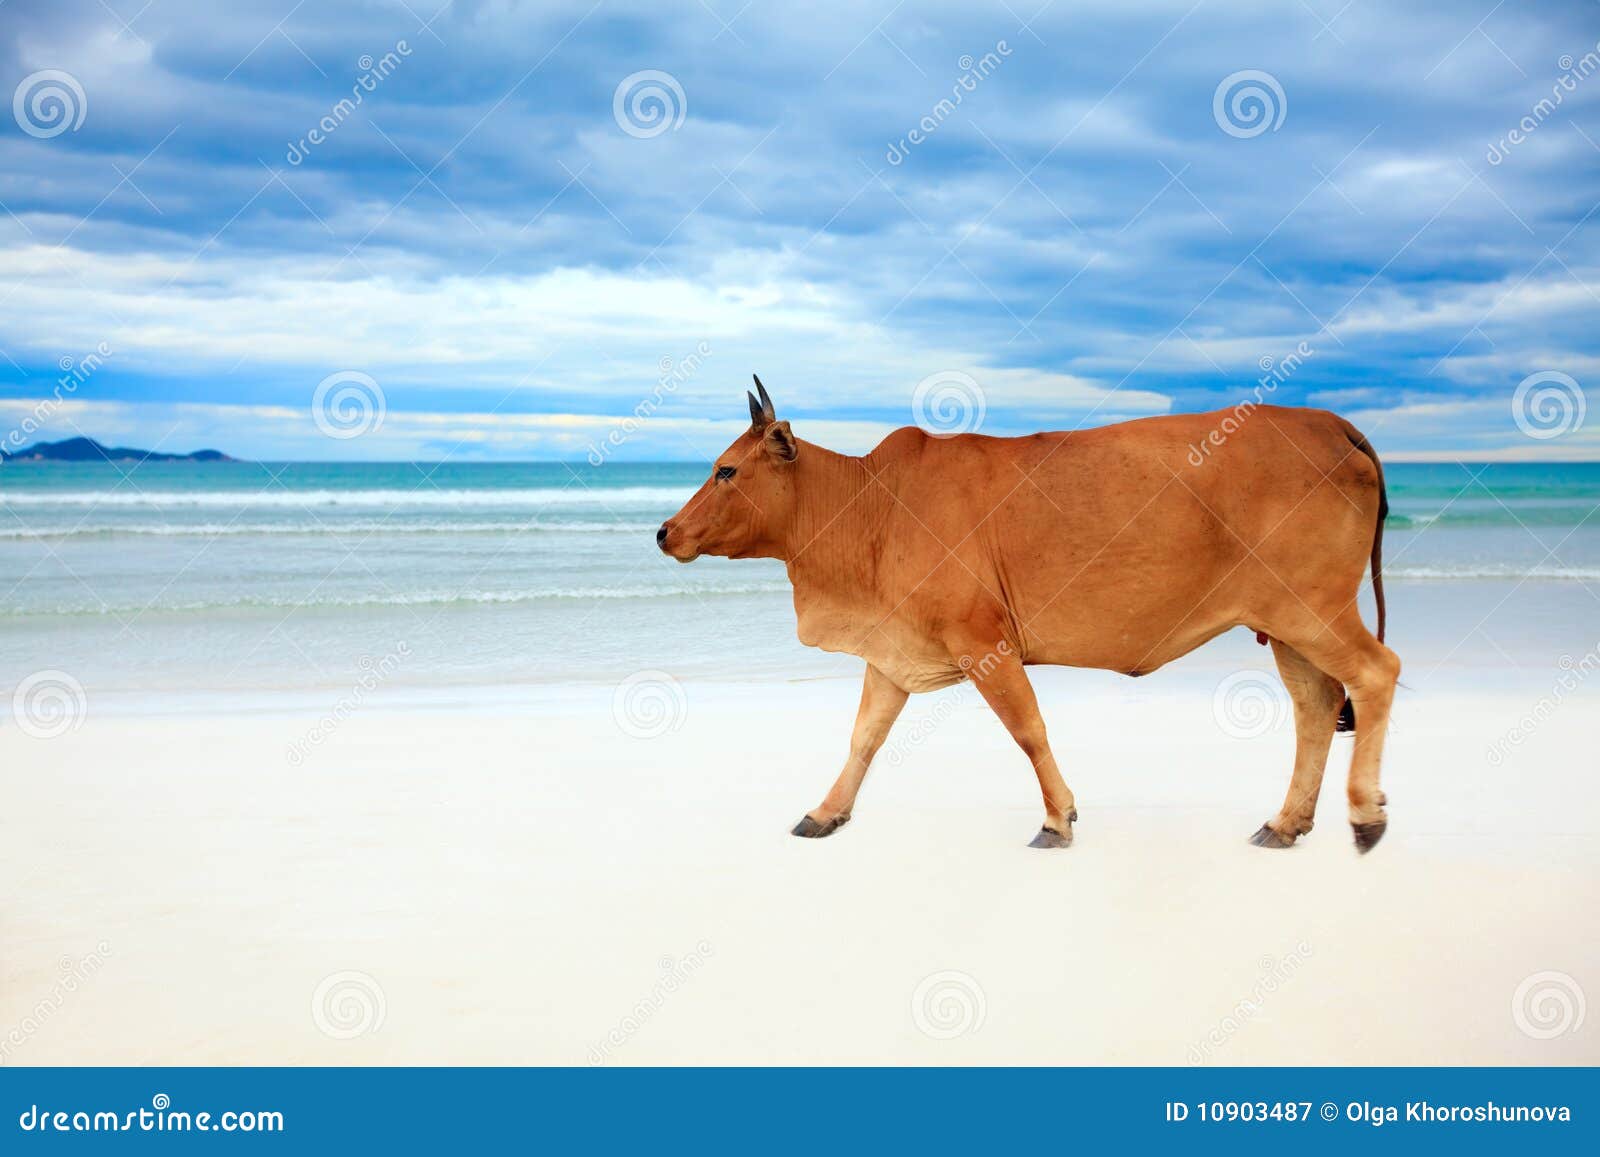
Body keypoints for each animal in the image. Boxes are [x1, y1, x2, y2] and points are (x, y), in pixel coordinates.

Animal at [656, 377, 1398, 853]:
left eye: (726, 471)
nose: (665, 532)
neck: (868, 507)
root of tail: (1331, 421)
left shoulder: (983, 642)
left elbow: (1028, 729)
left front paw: (1057, 819)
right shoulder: (892, 656)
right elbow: (863, 739)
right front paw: (824, 812)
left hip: (1313, 609)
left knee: (1375, 673)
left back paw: (1364, 814)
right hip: (1288, 626)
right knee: (1315, 706)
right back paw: (1287, 822)